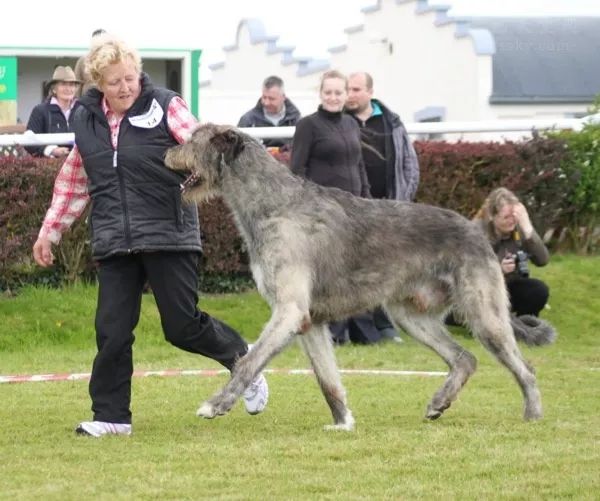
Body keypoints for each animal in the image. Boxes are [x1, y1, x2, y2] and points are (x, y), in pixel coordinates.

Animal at [163, 122, 552, 430]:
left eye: (193, 139)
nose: (167, 152)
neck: (273, 204)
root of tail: (478, 232)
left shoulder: (289, 310)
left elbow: (249, 361)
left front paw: (216, 404)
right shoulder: (310, 321)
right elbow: (327, 381)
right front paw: (343, 422)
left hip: (484, 312)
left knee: (526, 368)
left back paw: (533, 415)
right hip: (410, 315)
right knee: (464, 358)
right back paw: (439, 403)